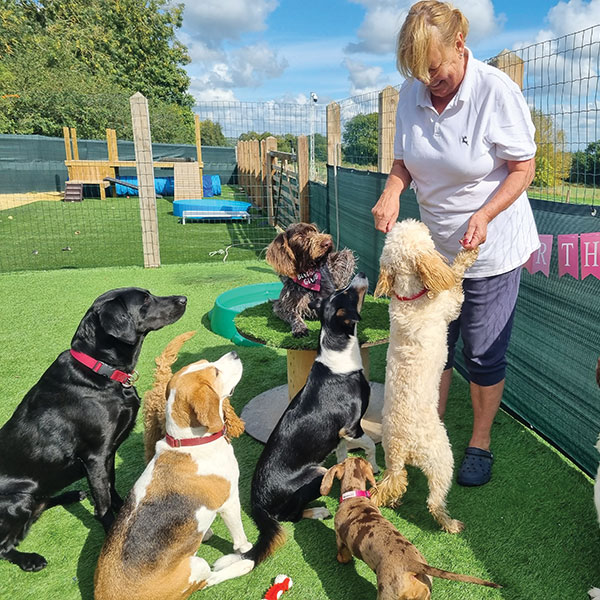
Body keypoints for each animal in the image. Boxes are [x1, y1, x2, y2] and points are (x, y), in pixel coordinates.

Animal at [0, 290, 185, 572]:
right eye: (144, 300)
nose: (184, 299)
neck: (102, 370)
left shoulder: (108, 453)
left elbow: (112, 485)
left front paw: (122, 509)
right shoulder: (95, 456)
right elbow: (103, 502)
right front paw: (111, 533)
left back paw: (71, 494)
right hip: (18, 499)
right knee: (3, 546)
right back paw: (29, 559)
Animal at [211, 274, 376, 580]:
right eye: (348, 292)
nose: (360, 276)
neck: (338, 353)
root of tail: (256, 502)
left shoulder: (339, 436)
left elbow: (342, 456)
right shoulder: (351, 427)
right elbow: (369, 444)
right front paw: (375, 464)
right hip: (314, 473)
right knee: (290, 517)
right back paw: (318, 511)